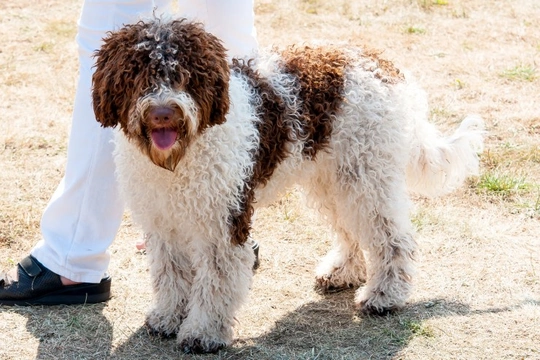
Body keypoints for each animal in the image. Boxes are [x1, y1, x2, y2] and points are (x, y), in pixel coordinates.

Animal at [90, 18, 484, 352]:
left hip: (365, 176)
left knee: (392, 237)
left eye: (185, 76)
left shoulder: (223, 224)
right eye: (136, 76)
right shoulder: (163, 223)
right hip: (334, 179)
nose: (162, 113)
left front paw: (203, 333)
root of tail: (381, 64)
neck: (178, 160)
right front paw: (169, 318)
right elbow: (170, 276)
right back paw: (343, 272)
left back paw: (384, 295)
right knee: (350, 230)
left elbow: (215, 282)